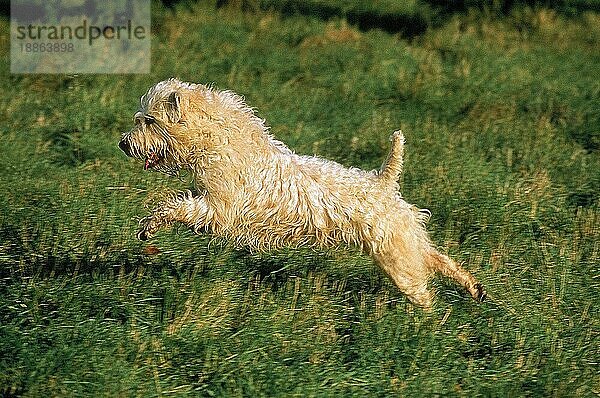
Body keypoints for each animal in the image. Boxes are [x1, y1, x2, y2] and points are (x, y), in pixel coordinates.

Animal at [118, 78, 488, 308]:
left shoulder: (220, 209)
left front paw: (150, 224)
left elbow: (177, 208)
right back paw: (475, 289)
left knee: (424, 290)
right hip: (406, 246)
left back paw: (428, 322)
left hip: (398, 261)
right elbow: (178, 203)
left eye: (149, 121)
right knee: (440, 260)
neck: (221, 142)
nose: (123, 144)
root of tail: (383, 181)